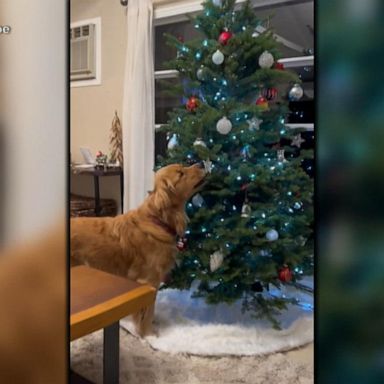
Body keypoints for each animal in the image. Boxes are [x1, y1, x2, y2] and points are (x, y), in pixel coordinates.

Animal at [70, 164, 206, 338]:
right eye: (181, 173)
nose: (201, 164)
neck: (158, 220)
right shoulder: (149, 281)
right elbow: (147, 313)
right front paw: (149, 335)